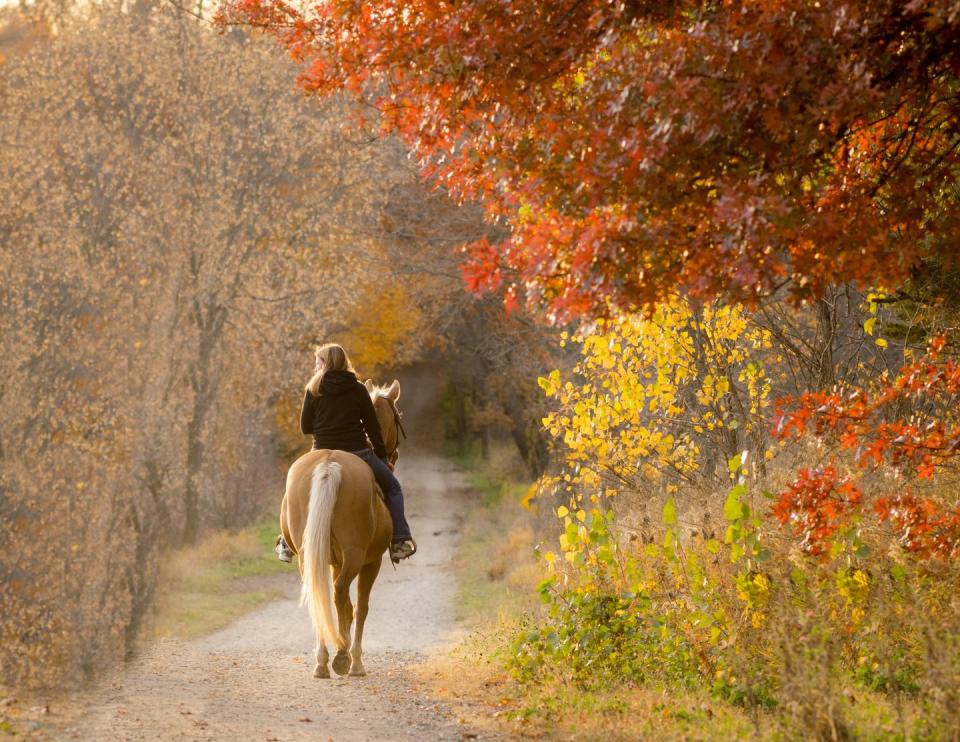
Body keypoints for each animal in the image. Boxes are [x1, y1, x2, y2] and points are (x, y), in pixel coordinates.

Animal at [276, 380, 404, 676]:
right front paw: (356, 660)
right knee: (342, 594)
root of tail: (329, 464)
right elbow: (361, 607)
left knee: (322, 595)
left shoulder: (334, 560)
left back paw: (323, 661)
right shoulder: (371, 562)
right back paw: (344, 658)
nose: (393, 455)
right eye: (397, 417)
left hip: (311, 553)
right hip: (356, 555)